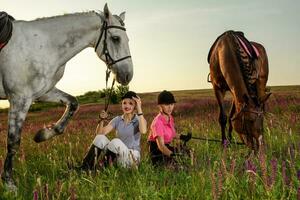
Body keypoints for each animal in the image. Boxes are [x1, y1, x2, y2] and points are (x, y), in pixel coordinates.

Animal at [0, 3, 134, 190]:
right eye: (115, 38)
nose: (128, 75)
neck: (42, 45)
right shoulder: (19, 98)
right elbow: (13, 141)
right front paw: (9, 183)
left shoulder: (43, 93)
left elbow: (73, 103)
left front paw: (44, 134)